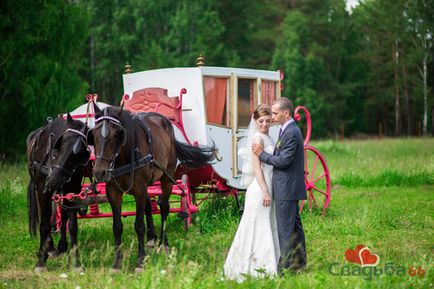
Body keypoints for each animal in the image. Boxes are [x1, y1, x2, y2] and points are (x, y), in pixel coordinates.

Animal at [26, 112, 90, 270]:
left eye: (80, 153)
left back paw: (61, 245)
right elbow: (44, 223)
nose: (54, 180)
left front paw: (75, 261)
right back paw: (50, 247)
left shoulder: (73, 191)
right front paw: (41, 260)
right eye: (62, 144)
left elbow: (72, 226)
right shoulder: (42, 190)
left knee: (63, 216)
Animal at [89, 104, 215, 272]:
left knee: (164, 207)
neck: (124, 157)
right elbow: (117, 226)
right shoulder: (113, 192)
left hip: (167, 176)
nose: (99, 172)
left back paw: (164, 243)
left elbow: (139, 225)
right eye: (94, 133)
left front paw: (140, 260)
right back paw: (151, 238)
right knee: (149, 205)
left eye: (117, 134)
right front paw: (117, 263)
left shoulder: (139, 189)